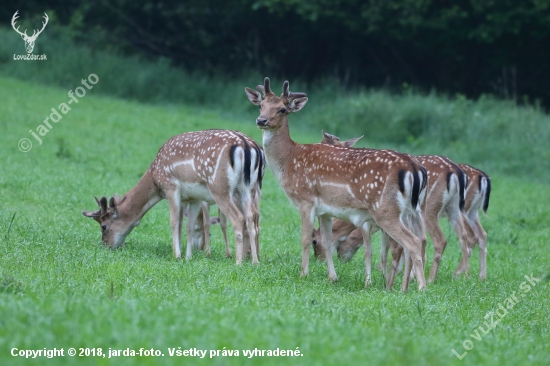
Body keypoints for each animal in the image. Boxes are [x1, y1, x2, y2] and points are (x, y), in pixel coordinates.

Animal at [81, 129, 268, 264]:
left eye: (104, 226)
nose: (106, 245)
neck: (155, 178)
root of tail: (248, 146)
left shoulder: (171, 187)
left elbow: (174, 222)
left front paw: (176, 255)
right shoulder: (193, 198)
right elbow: (188, 225)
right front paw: (188, 256)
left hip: (220, 188)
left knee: (238, 218)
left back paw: (238, 262)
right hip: (249, 189)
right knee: (252, 218)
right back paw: (254, 261)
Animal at [247, 78, 432, 292]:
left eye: (283, 109)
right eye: (261, 105)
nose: (261, 121)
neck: (289, 161)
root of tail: (415, 169)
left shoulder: (305, 200)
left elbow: (304, 239)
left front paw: (303, 274)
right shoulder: (326, 210)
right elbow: (327, 242)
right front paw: (332, 277)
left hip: (386, 210)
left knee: (412, 242)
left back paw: (421, 288)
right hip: (413, 210)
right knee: (418, 241)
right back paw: (404, 288)